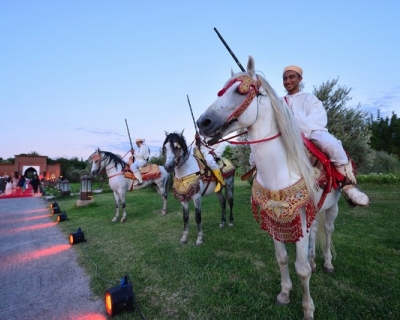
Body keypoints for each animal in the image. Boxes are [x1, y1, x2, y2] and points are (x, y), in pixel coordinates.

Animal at [197, 56, 340, 318]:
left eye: (240, 91)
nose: (203, 122)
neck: (280, 170)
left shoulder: (299, 217)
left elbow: (301, 268)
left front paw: (308, 308)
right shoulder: (275, 219)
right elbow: (282, 258)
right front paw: (284, 294)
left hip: (332, 208)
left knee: (328, 230)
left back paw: (326, 263)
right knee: (316, 231)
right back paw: (315, 261)